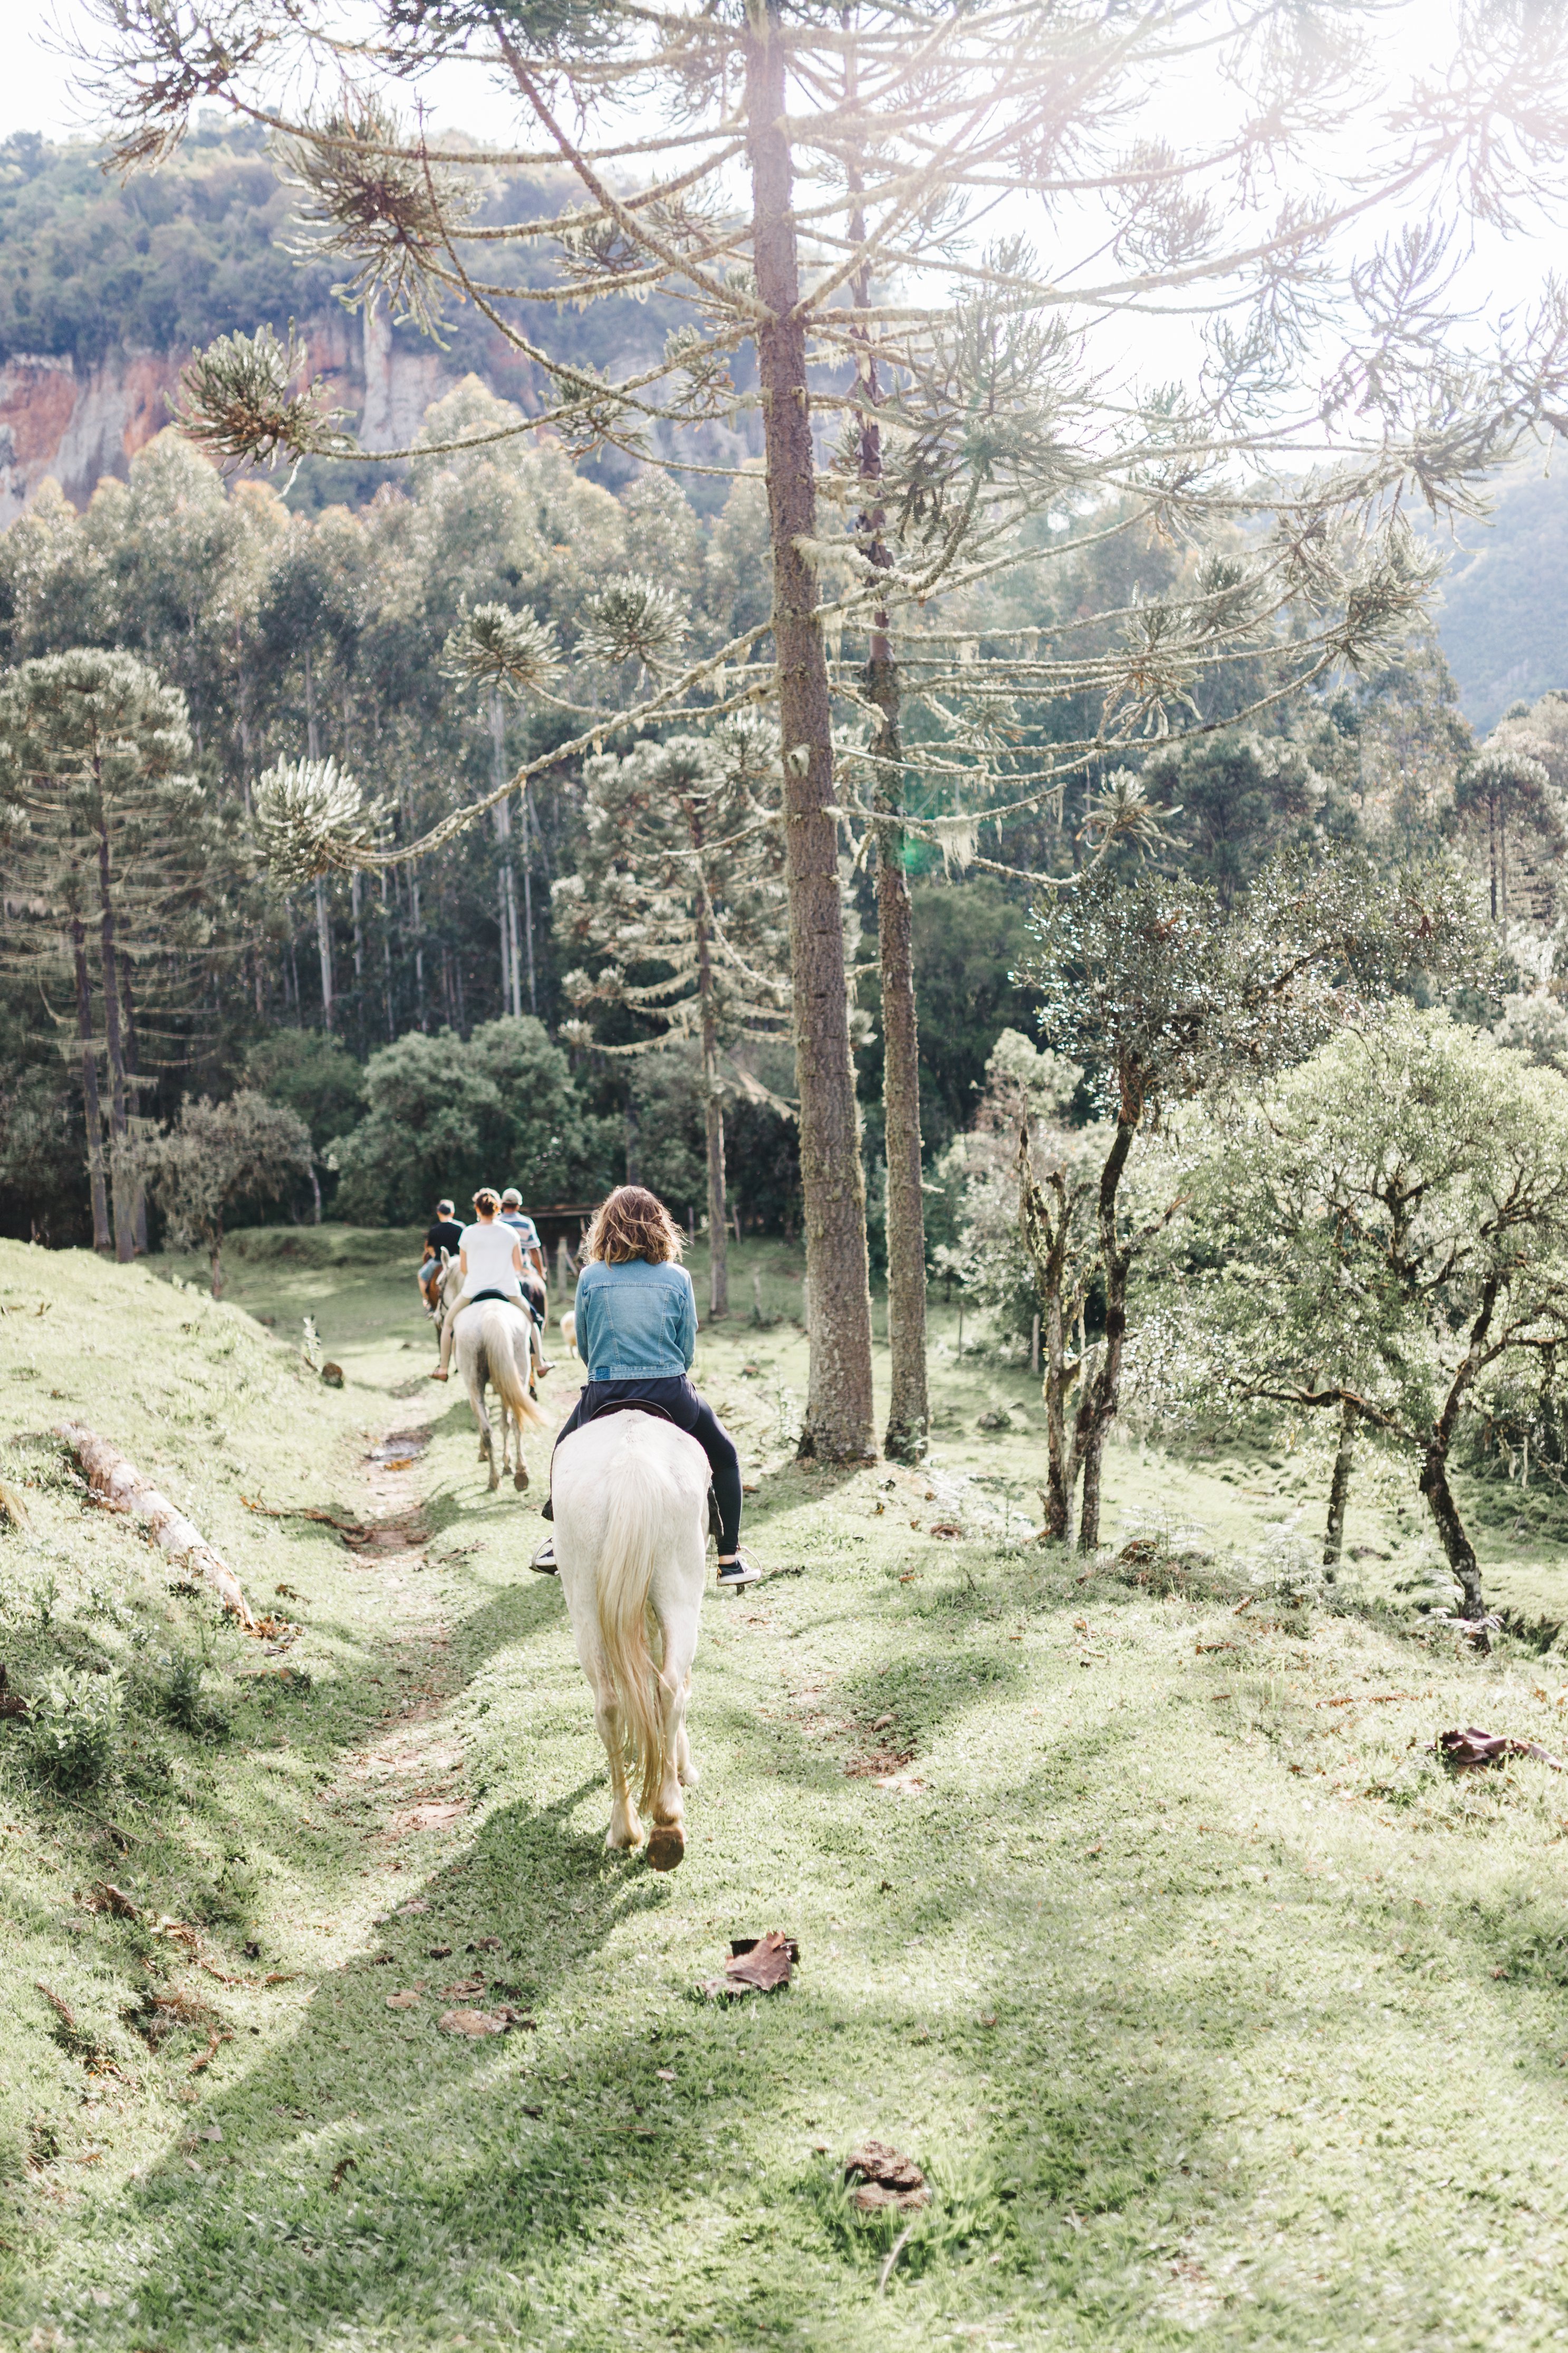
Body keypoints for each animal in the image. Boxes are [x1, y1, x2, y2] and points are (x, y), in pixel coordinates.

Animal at [432, 1251, 550, 1487]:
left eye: (440, 1284)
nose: (437, 1317)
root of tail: (491, 1316)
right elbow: (505, 1422)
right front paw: (508, 1464)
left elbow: (485, 1418)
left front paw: (486, 1455)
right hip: (517, 1372)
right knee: (515, 1421)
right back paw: (520, 1472)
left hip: (474, 1383)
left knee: (488, 1427)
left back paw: (493, 1478)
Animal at [550, 1412, 700, 1873]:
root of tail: (630, 1466)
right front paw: (680, 1761)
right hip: (683, 1592)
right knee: (671, 1687)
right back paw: (664, 1813)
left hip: (584, 1604)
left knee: (611, 1704)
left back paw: (632, 1827)